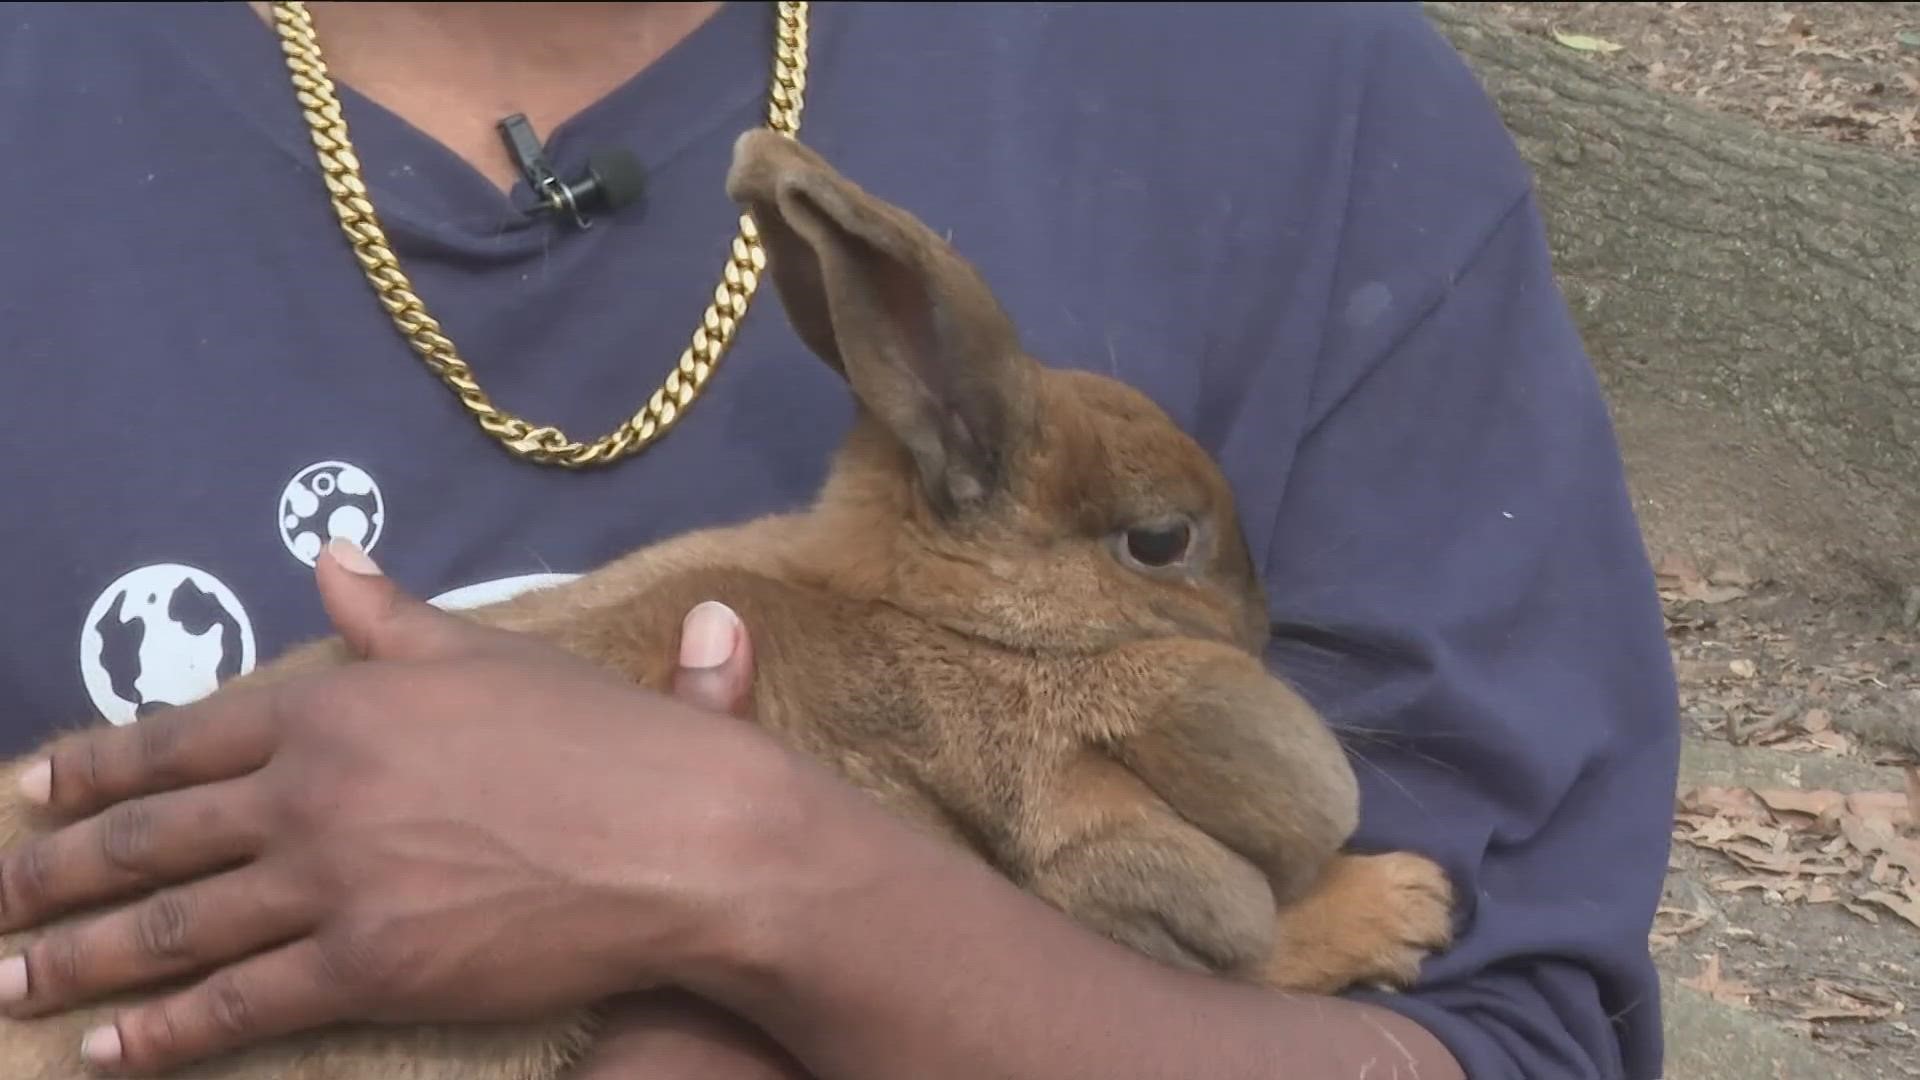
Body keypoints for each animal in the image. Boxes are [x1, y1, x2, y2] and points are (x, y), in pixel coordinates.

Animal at [0, 127, 1451, 1076]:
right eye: (1162, 541)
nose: (1260, 640)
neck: (942, 618)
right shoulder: (1092, 851)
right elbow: (1242, 938)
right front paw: (1400, 904)